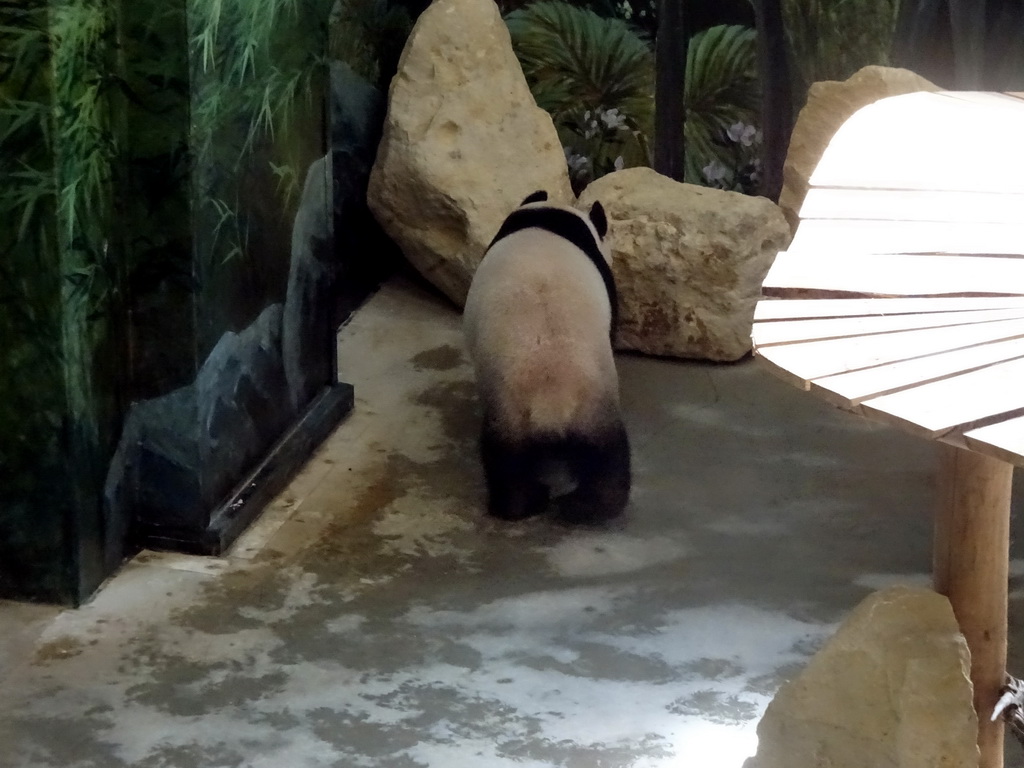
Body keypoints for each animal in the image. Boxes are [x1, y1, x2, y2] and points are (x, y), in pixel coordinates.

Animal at [464, 191, 630, 524]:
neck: (548, 214)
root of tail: (552, 397)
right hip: (555, 404)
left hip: (538, 408)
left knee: (511, 459)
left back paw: (553, 504)